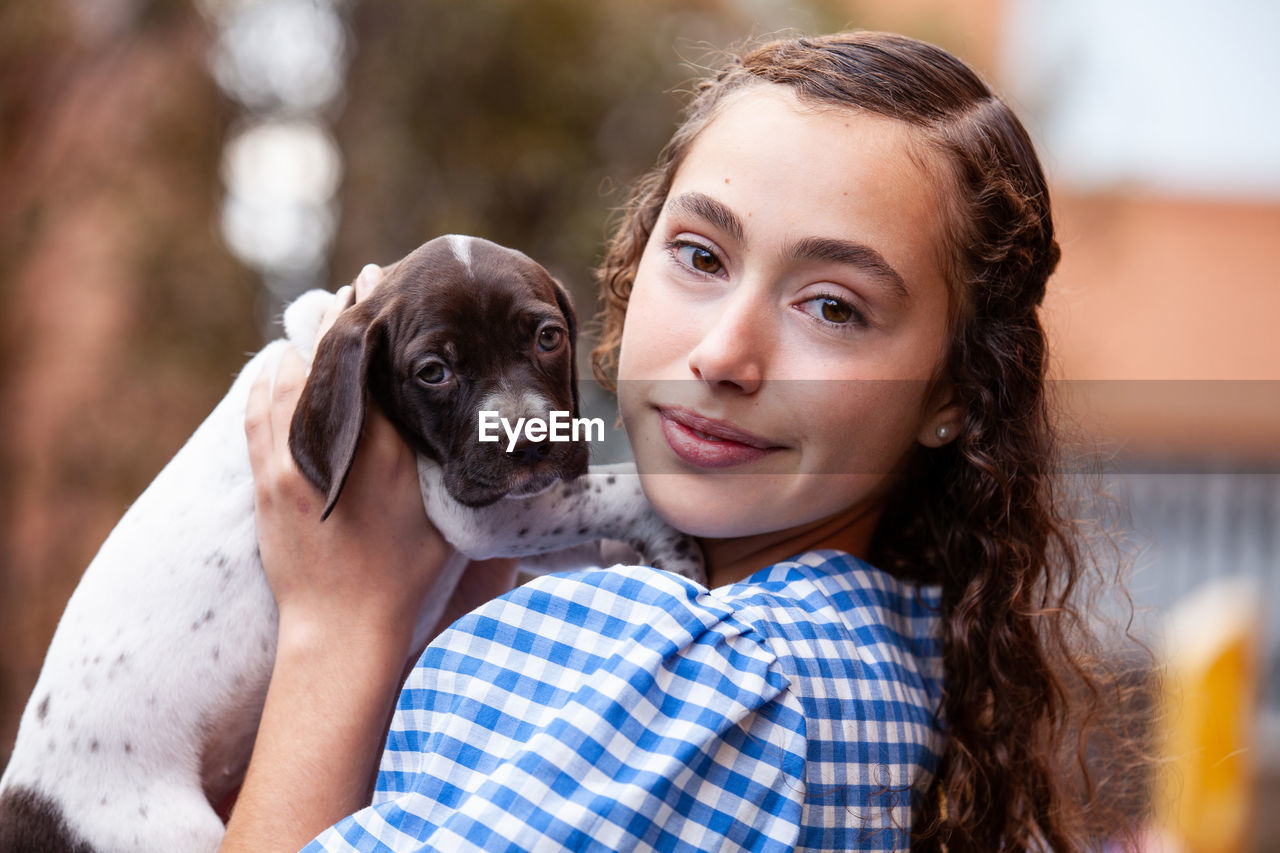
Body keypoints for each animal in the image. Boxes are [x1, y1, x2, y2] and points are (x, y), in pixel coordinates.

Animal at [0, 234, 701, 850]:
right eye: (433, 372)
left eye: (547, 337)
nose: (530, 443)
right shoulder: (470, 512)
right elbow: (616, 489)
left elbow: (590, 521)